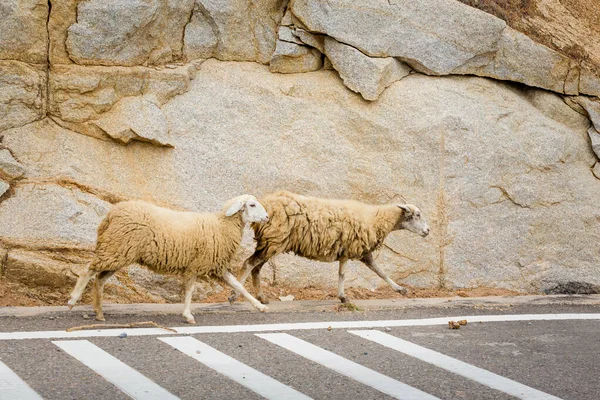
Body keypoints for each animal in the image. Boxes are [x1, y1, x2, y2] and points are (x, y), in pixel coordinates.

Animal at [66, 195, 270, 324]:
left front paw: (259, 306)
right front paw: (188, 315)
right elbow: (189, 291)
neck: (221, 225)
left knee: (99, 279)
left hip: (119, 252)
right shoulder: (195, 265)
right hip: (115, 249)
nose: (267, 217)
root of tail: (110, 215)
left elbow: (239, 286)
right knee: (87, 270)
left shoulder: (216, 267)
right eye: (252, 205)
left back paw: (99, 312)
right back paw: (73, 300)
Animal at [227, 192, 428, 304]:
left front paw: (400, 289)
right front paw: (343, 297)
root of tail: (265, 207)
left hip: (271, 244)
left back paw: (261, 297)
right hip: (273, 242)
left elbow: (380, 272)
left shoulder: (356, 251)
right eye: (417, 215)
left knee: (256, 269)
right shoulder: (351, 249)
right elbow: (345, 275)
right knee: (248, 264)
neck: (375, 219)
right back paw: (234, 296)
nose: (428, 231)